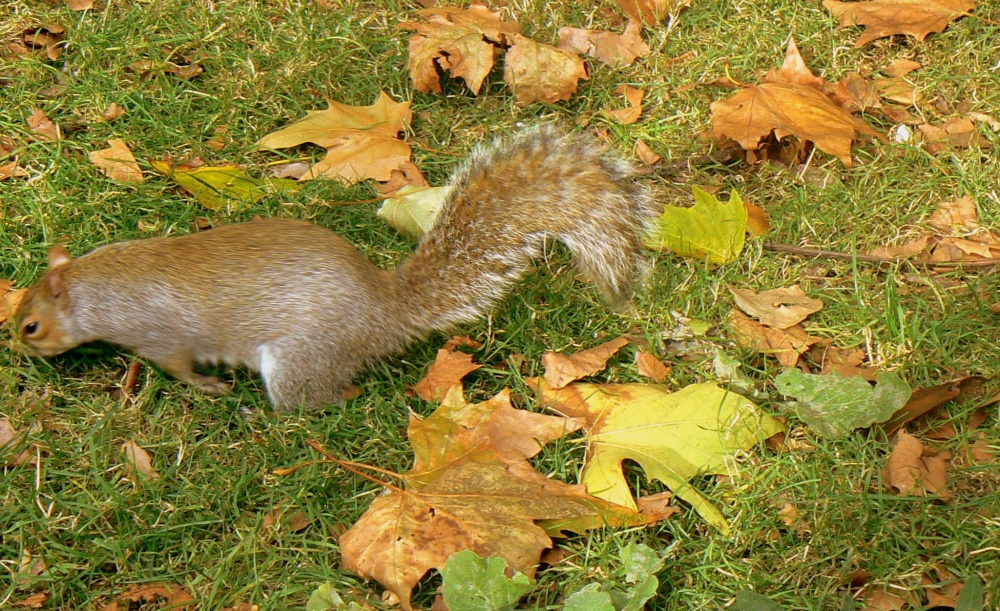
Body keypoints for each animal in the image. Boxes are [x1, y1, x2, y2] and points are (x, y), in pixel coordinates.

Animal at [14, 126, 657, 409]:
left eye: (30, 325)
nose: (18, 349)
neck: (100, 287)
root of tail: (384, 313)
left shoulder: (160, 336)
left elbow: (178, 366)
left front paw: (210, 386)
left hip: (298, 360)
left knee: (320, 400)